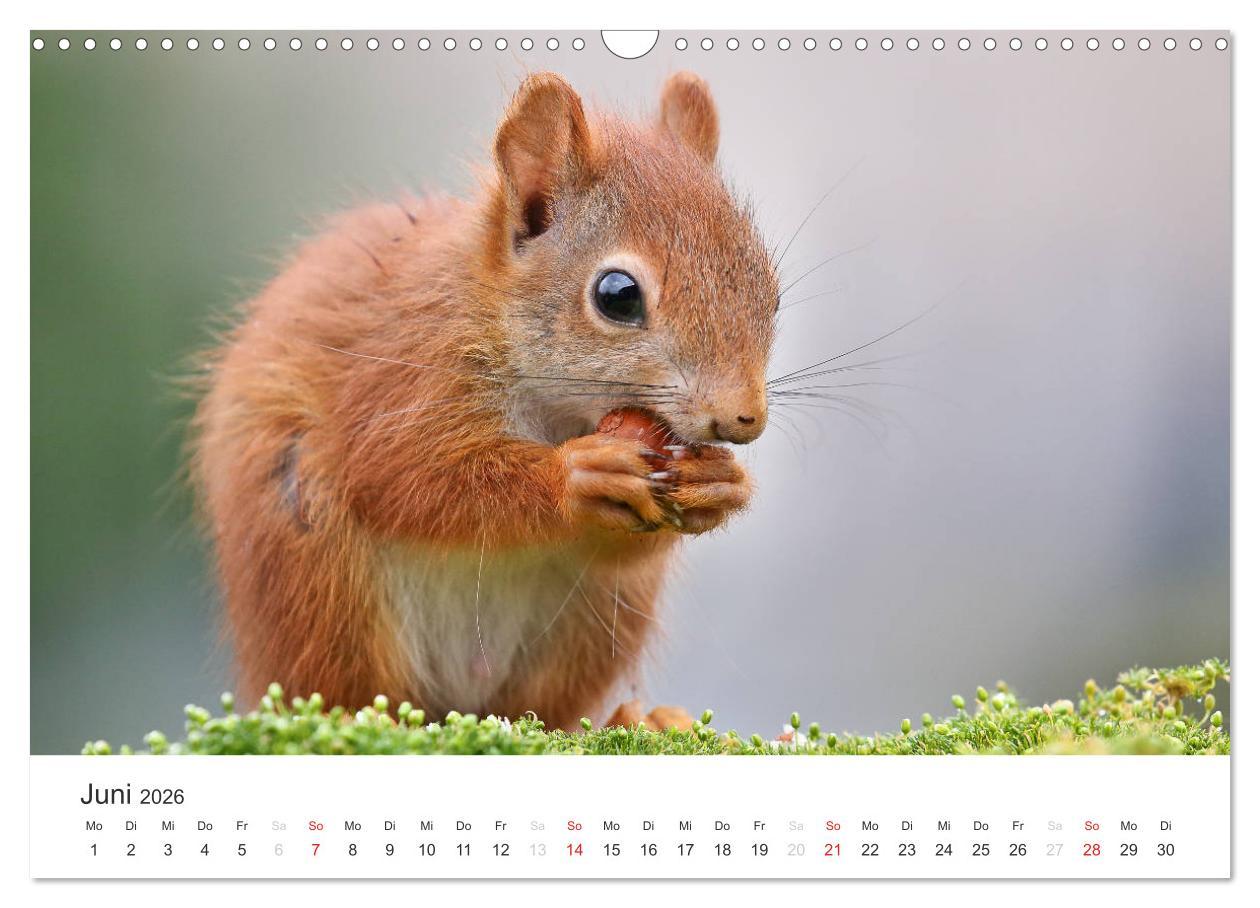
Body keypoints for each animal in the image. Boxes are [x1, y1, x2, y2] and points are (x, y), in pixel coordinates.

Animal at [191, 71, 779, 730]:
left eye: (768, 286)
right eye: (617, 295)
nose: (744, 418)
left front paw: (722, 484)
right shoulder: (397, 376)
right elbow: (404, 476)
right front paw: (573, 477)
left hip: (595, 622)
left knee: (540, 711)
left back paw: (633, 719)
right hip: (312, 570)